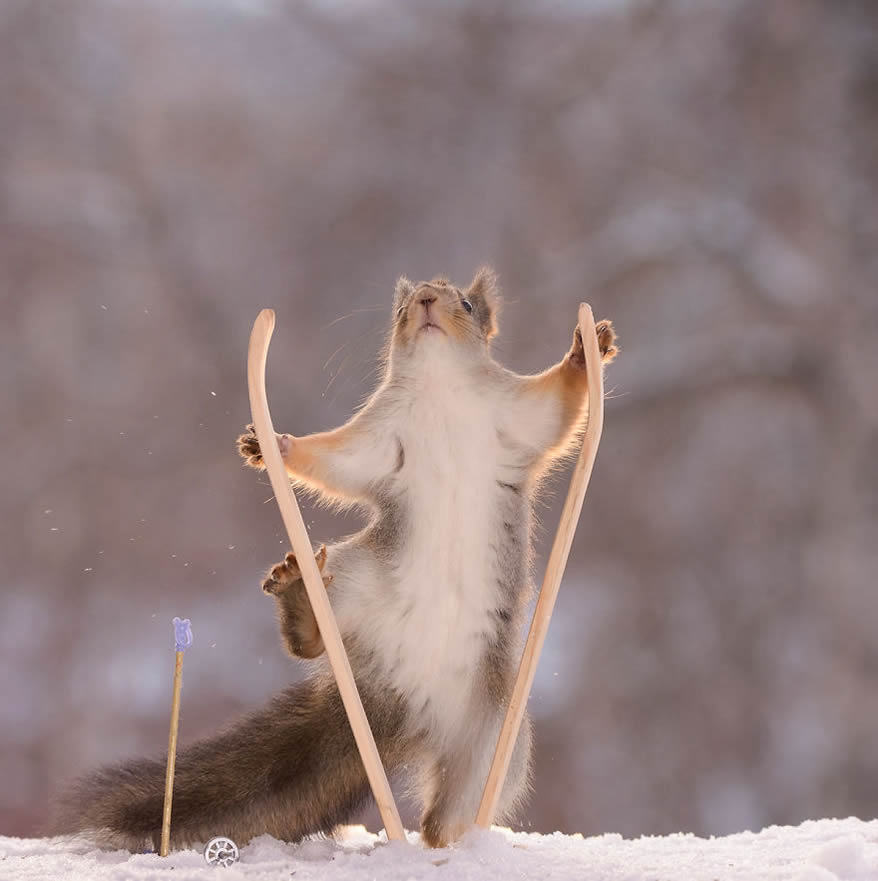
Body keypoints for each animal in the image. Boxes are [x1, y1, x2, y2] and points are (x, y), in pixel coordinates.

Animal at [55, 266, 620, 844]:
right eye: (401, 310)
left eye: (465, 303)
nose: (425, 301)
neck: (440, 388)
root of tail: (400, 701)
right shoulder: (378, 439)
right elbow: (338, 460)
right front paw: (275, 446)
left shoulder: (514, 415)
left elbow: (555, 408)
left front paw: (587, 348)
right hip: (355, 580)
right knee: (310, 645)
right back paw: (300, 598)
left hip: (491, 746)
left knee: (453, 807)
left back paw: (451, 841)